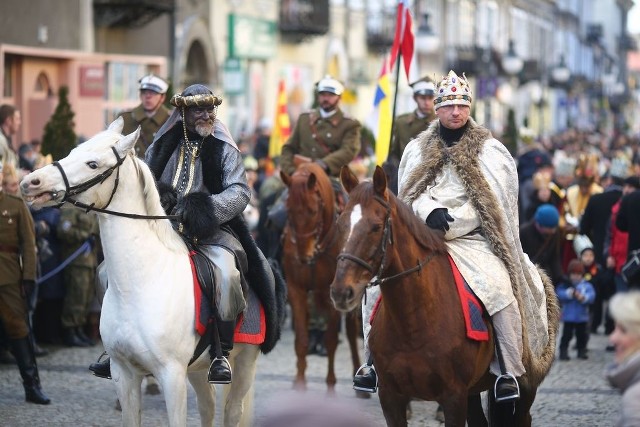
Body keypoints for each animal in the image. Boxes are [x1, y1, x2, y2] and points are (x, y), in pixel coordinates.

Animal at [20, 118, 260, 426]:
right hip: (198, 369)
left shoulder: (172, 375)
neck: (140, 284)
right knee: (207, 406)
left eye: (93, 164)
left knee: (232, 410)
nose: (30, 182)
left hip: (244, 362)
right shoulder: (123, 373)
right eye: (73, 152)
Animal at [282, 162, 364, 396]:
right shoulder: (296, 291)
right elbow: (301, 338)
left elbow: (331, 341)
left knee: (352, 333)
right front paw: (300, 383)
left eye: (313, 210)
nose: (304, 256)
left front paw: (330, 387)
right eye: (288, 210)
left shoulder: (334, 295)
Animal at [330, 167, 560, 427]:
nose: (341, 291)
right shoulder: (391, 398)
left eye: (376, 227)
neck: (414, 321)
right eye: (340, 224)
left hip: (525, 387)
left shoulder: (453, 397)